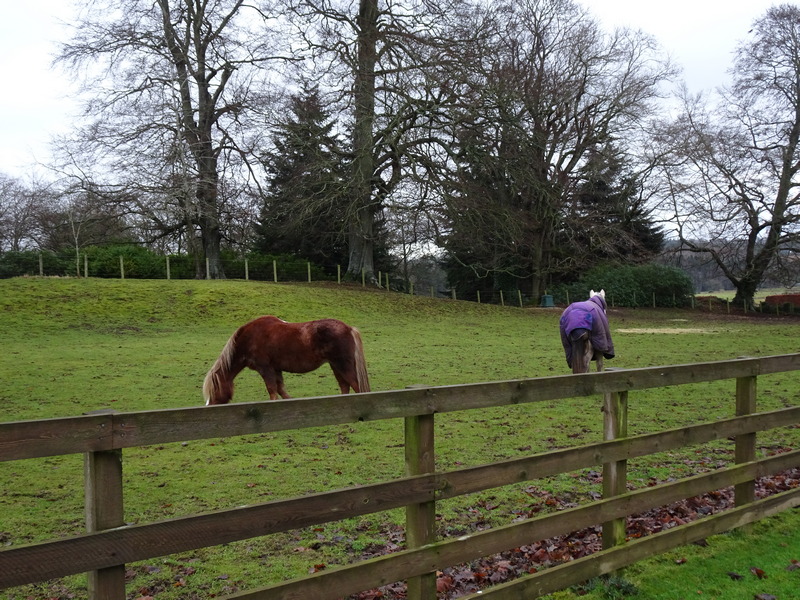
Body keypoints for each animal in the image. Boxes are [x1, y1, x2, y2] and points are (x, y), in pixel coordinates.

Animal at [203, 316, 372, 406]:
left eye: (213, 390)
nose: (209, 405)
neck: (249, 338)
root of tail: (349, 328)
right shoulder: (276, 369)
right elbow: (281, 389)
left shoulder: (266, 369)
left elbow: (272, 390)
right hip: (335, 366)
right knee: (345, 386)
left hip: (342, 365)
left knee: (355, 385)